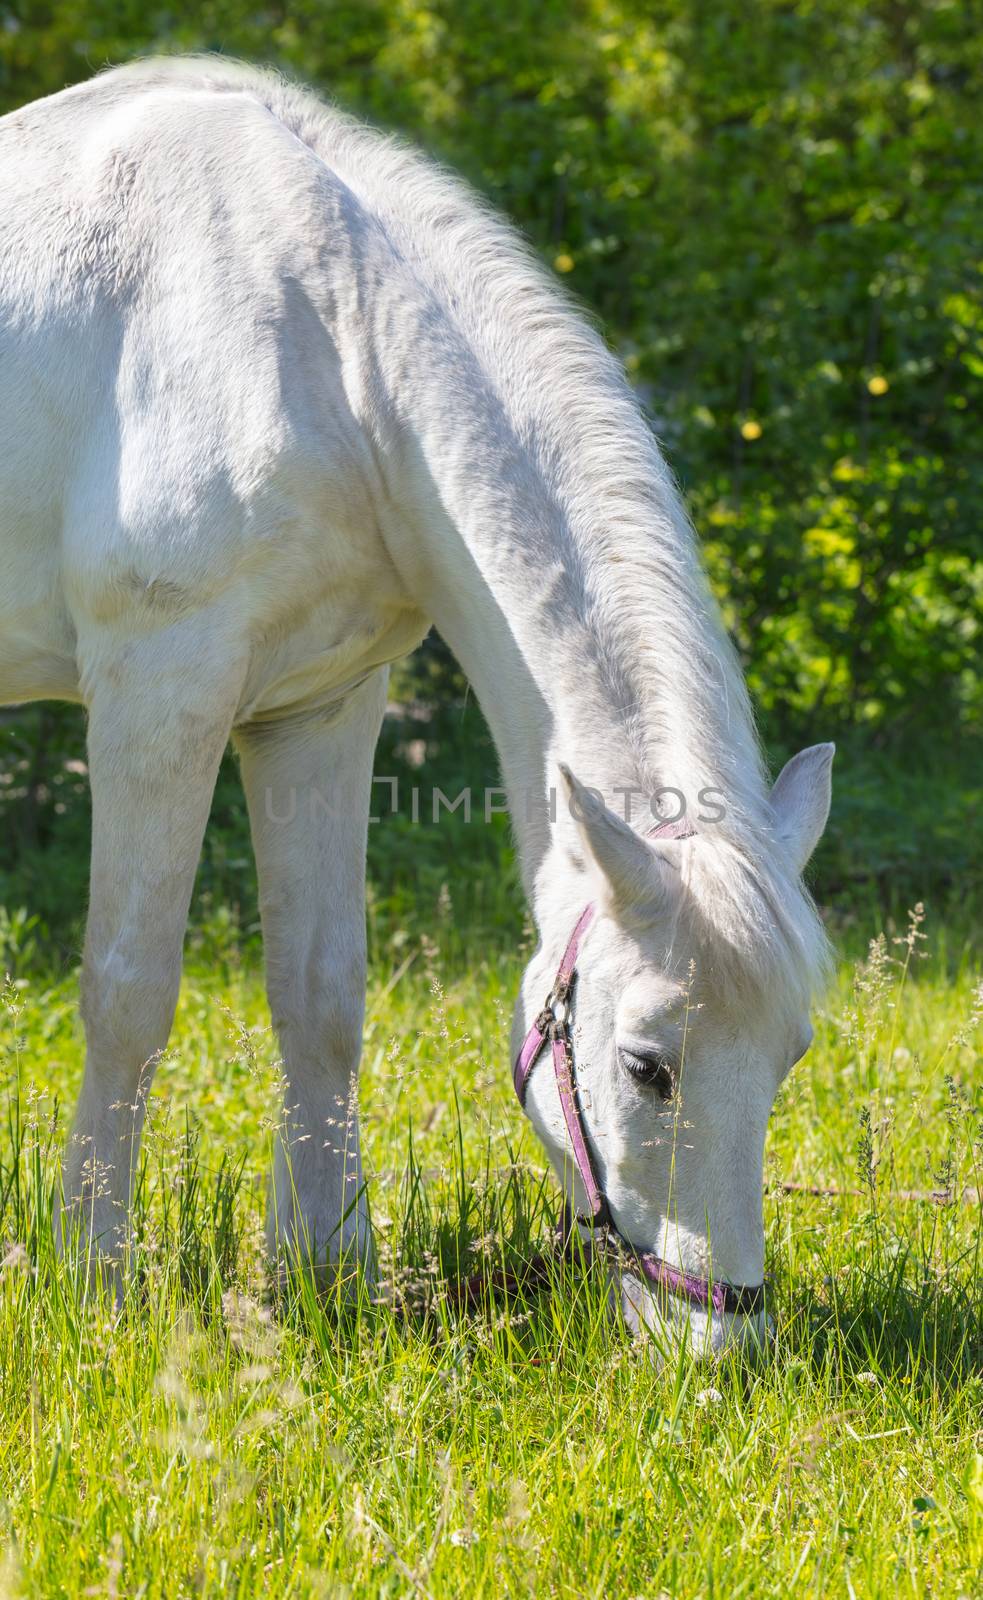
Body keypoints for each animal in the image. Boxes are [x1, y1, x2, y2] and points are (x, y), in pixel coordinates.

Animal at [0, 59, 838, 1350]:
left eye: (788, 1053)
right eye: (646, 1064)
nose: (722, 1343)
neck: (323, 337)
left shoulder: (319, 706)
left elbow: (319, 995)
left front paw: (327, 1270)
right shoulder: (159, 693)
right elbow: (127, 990)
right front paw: (92, 1277)